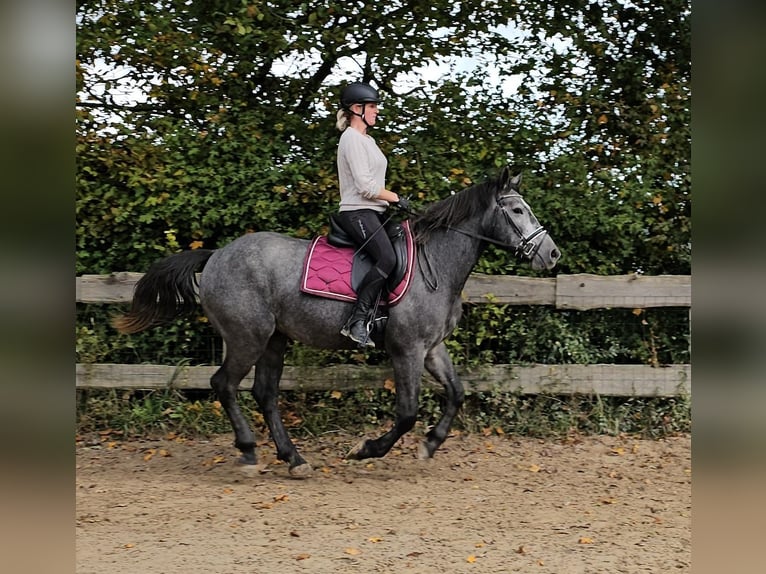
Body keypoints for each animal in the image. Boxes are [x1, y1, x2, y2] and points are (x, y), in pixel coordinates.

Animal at [112, 165, 560, 476]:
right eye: (517, 209)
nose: (552, 254)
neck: (436, 264)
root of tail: (218, 254)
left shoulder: (432, 348)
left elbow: (456, 394)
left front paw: (430, 445)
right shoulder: (407, 349)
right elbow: (407, 412)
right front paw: (366, 449)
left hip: (274, 339)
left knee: (264, 394)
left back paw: (294, 459)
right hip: (247, 337)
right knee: (224, 384)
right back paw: (250, 451)